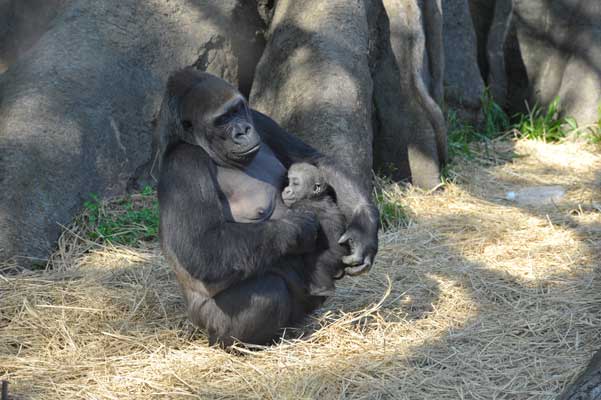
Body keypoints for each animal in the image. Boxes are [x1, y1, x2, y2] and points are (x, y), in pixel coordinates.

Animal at [282, 161, 346, 296]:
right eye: (289, 182)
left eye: (296, 184)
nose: (286, 190)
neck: (314, 197)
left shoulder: (302, 206)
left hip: (336, 257)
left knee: (318, 262)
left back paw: (323, 289)